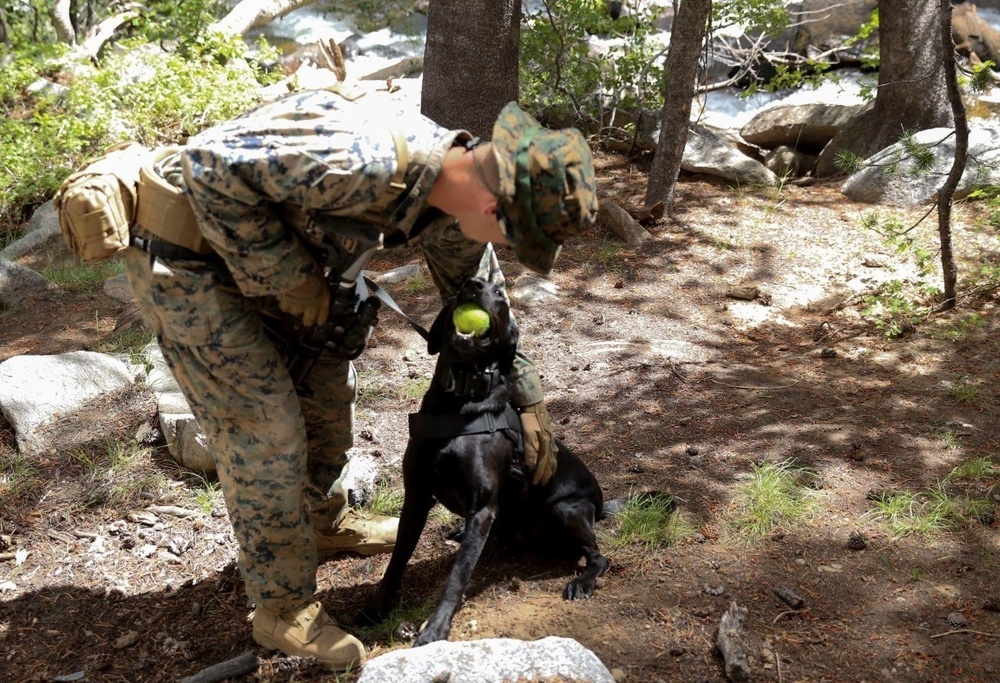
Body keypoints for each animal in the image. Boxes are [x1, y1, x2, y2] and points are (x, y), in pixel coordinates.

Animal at [360, 276, 608, 644]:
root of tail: (602, 502)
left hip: (566, 510)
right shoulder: (416, 496)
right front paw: (377, 608)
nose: (473, 283)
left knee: (599, 557)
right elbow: (397, 559)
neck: (459, 400)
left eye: (501, 297)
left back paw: (583, 582)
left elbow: (458, 576)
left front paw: (436, 627)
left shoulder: (483, 507)